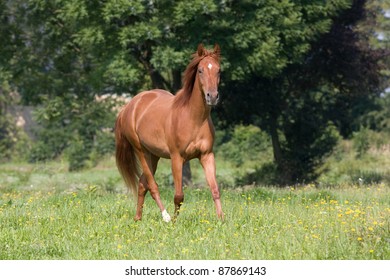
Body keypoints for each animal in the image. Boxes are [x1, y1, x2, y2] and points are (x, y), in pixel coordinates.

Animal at [115, 44, 222, 223]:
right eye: (200, 70)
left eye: (218, 70)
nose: (212, 96)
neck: (193, 118)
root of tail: (129, 106)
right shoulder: (177, 158)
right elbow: (179, 195)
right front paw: (174, 221)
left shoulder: (207, 155)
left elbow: (215, 189)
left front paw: (221, 219)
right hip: (141, 152)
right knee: (152, 185)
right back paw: (164, 216)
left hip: (153, 155)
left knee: (142, 184)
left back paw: (138, 218)